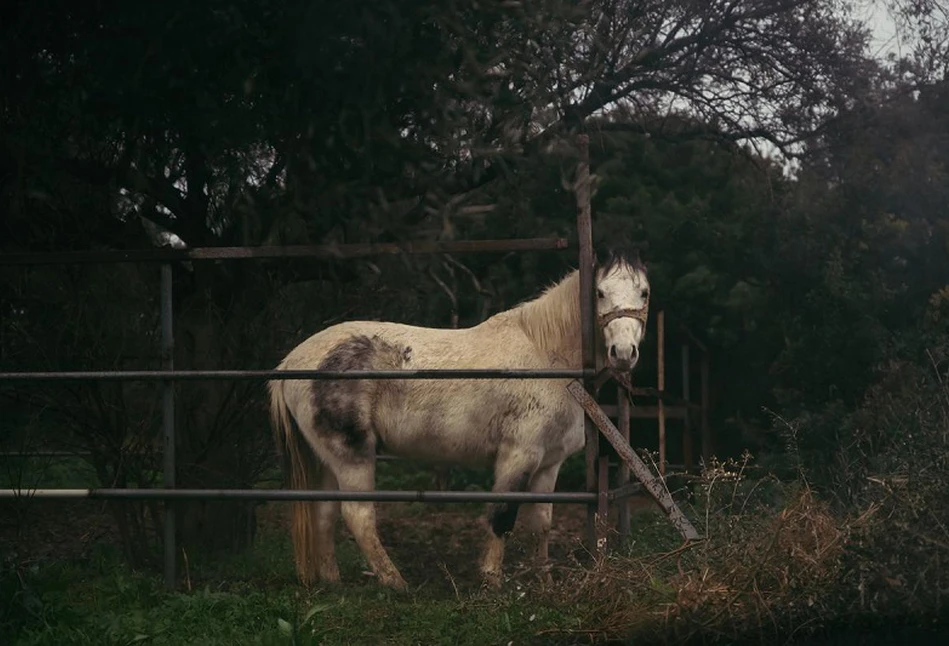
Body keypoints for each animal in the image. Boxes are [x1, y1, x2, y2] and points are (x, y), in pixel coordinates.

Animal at [270, 249, 648, 592]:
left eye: (643, 292)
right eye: (600, 292)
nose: (624, 353)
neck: (548, 356)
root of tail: (292, 362)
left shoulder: (548, 463)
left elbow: (542, 522)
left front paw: (545, 581)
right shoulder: (517, 456)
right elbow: (502, 516)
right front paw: (492, 580)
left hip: (326, 459)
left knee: (324, 514)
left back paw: (332, 582)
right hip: (351, 456)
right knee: (358, 516)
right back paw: (396, 583)